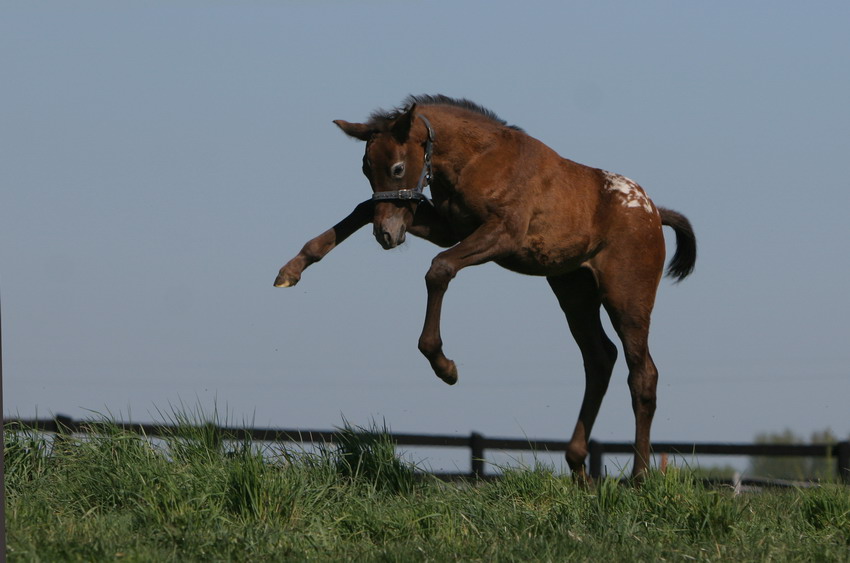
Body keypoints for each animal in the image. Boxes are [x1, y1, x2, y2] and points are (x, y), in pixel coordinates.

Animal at [276, 96, 696, 480]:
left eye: (397, 168)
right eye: (365, 168)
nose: (387, 235)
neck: (478, 161)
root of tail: (653, 212)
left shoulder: (503, 235)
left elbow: (440, 269)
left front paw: (444, 366)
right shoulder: (451, 227)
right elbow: (364, 209)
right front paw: (292, 269)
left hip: (626, 296)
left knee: (642, 372)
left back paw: (639, 478)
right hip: (573, 291)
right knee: (599, 359)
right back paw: (579, 468)